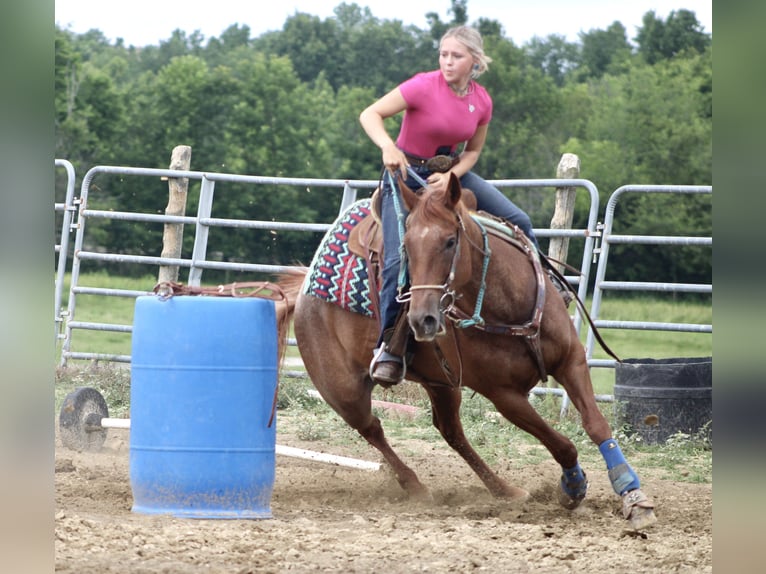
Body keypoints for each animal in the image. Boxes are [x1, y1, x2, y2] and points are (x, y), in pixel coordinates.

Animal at [280, 172, 656, 532]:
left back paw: (505, 490)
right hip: (342, 390)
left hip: (441, 384)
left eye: (450, 241)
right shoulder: (504, 396)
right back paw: (416, 486)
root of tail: (303, 289)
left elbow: (596, 425)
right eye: (405, 248)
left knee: (450, 431)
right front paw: (572, 487)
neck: (506, 306)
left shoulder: (571, 361)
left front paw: (633, 496)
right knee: (372, 429)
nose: (422, 319)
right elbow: (561, 442)